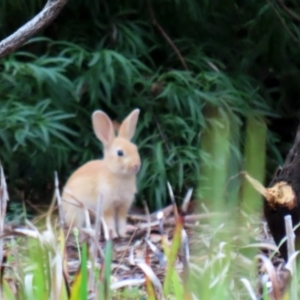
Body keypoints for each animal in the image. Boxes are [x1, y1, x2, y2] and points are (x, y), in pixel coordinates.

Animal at [61, 109, 141, 238]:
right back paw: (92, 232)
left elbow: (121, 221)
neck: (117, 173)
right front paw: (114, 235)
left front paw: (123, 234)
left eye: (135, 148)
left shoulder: (123, 206)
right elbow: (110, 221)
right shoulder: (106, 206)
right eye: (120, 153)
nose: (136, 165)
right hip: (78, 211)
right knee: (76, 227)